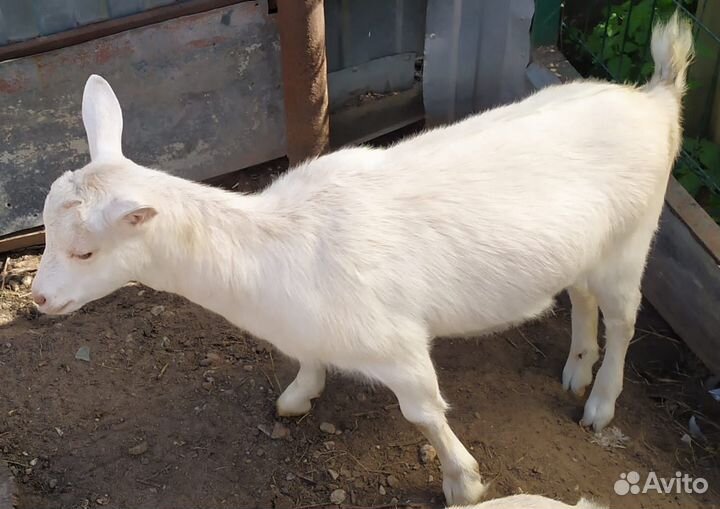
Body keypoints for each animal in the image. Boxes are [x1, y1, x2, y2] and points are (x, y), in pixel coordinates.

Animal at [32, 13, 692, 505]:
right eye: (44, 233)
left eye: (85, 250)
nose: (38, 300)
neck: (274, 247)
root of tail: (657, 100)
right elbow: (308, 361)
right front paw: (299, 396)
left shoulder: (397, 347)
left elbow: (425, 413)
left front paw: (463, 481)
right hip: (587, 248)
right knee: (582, 297)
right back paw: (577, 368)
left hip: (632, 241)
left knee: (625, 316)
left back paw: (599, 403)